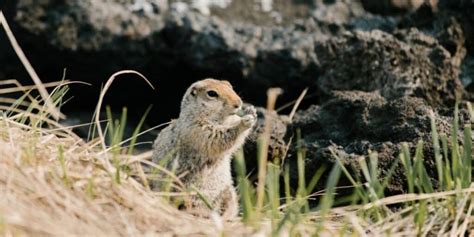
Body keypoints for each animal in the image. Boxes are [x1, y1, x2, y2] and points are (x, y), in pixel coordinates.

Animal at [152, 78, 256, 219]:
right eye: (212, 93)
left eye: (229, 85)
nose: (238, 103)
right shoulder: (198, 129)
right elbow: (217, 138)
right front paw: (244, 122)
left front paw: (251, 111)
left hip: (227, 192)